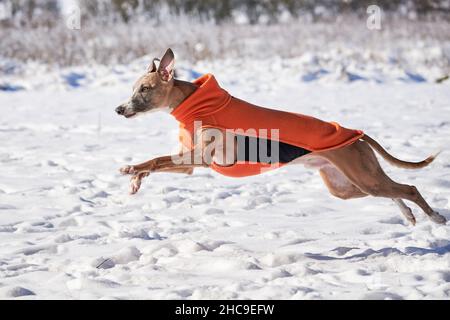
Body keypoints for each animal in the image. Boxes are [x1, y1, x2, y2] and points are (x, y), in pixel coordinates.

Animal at [116, 48, 446, 226]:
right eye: (133, 88)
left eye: (144, 89)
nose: (118, 109)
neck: (193, 103)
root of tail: (357, 135)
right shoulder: (188, 163)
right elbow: (158, 163)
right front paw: (135, 180)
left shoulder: (202, 157)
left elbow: (155, 159)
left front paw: (131, 169)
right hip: (347, 185)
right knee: (394, 192)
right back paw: (408, 215)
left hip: (362, 176)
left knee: (409, 188)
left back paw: (436, 218)